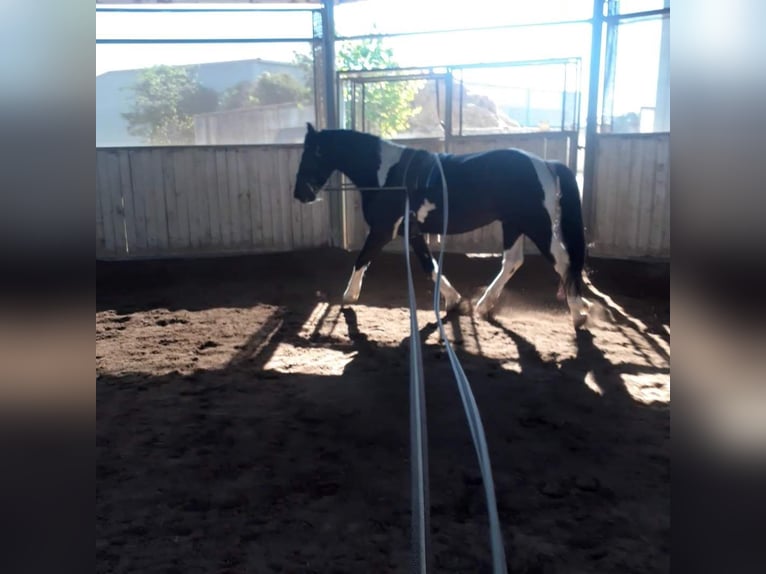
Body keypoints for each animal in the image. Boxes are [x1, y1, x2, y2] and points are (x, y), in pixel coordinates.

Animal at [296, 124, 592, 330]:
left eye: (309, 156)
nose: (299, 194)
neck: (387, 175)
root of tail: (545, 165)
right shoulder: (412, 232)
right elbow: (430, 266)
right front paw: (453, 300)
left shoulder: (382, 229)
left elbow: (362, 259)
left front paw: (349, 296)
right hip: (513, 224)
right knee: (512, 261)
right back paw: (484, 305)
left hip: (536, 225)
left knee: (562, 261)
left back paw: (579, 313)